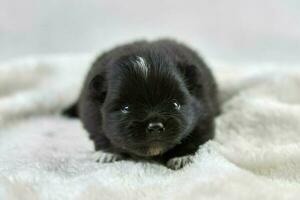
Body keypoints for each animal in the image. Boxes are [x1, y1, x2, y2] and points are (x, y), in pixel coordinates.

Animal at [63, 39, 218, 170]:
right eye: (126, 108)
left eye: (175, 104)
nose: (155, 126)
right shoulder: (92, 115)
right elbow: (100, 134)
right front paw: (107, 152)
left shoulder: (204, 117)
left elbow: (194, 137)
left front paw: (182, 156)